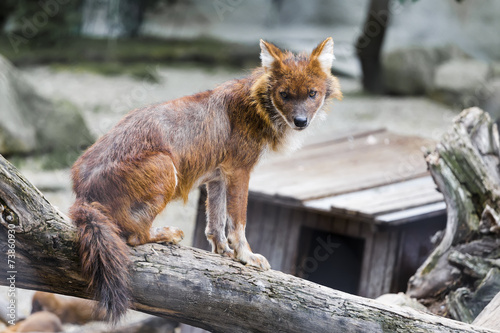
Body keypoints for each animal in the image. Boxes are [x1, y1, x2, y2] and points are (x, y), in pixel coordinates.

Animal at [70, 37, 342, 322]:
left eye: (312, 94)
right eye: (284, 94)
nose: (300, 121)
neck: (256, 107)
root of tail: (82, 192)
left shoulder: (218, 177)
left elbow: (216, 222)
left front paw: (223, 252)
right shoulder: (239, 171)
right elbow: (238, 222)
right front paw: (245, 256)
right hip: (166, 167)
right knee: (133, 236)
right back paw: (166, 233)